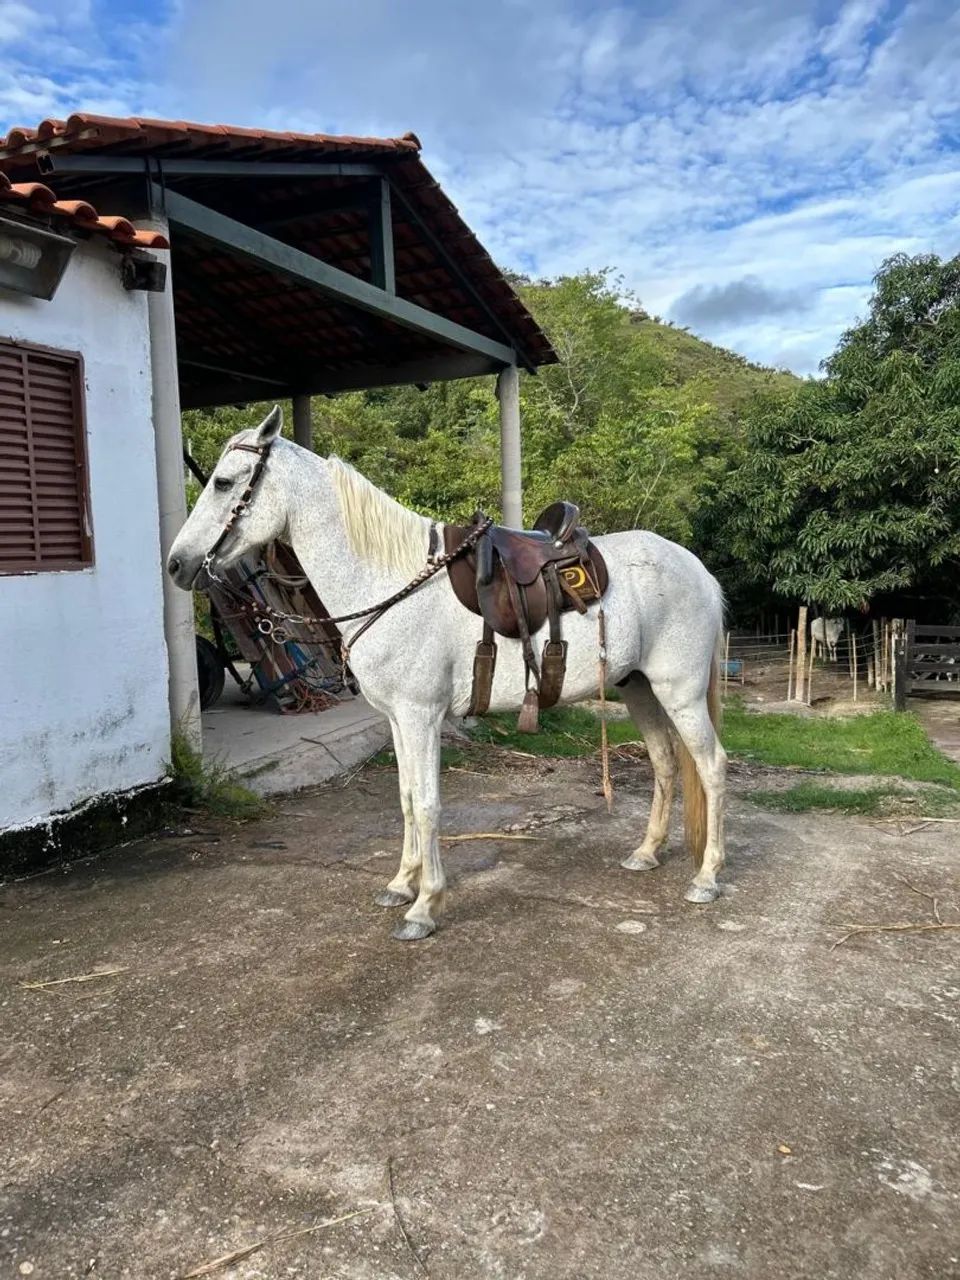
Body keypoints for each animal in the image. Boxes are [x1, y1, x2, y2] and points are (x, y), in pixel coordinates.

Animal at [167, 407, 728, 941]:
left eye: (223, 482)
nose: (176, 565)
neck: (391, 581)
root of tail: (698, 570)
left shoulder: (422, 716)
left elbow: (430, 805)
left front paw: (424, 907)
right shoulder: (397, 719)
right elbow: (407, 799)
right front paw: (401, 883)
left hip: (679, 692)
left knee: (712, 766)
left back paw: (707, 878)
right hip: (639, 689)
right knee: (665, 763)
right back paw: (647, 852)